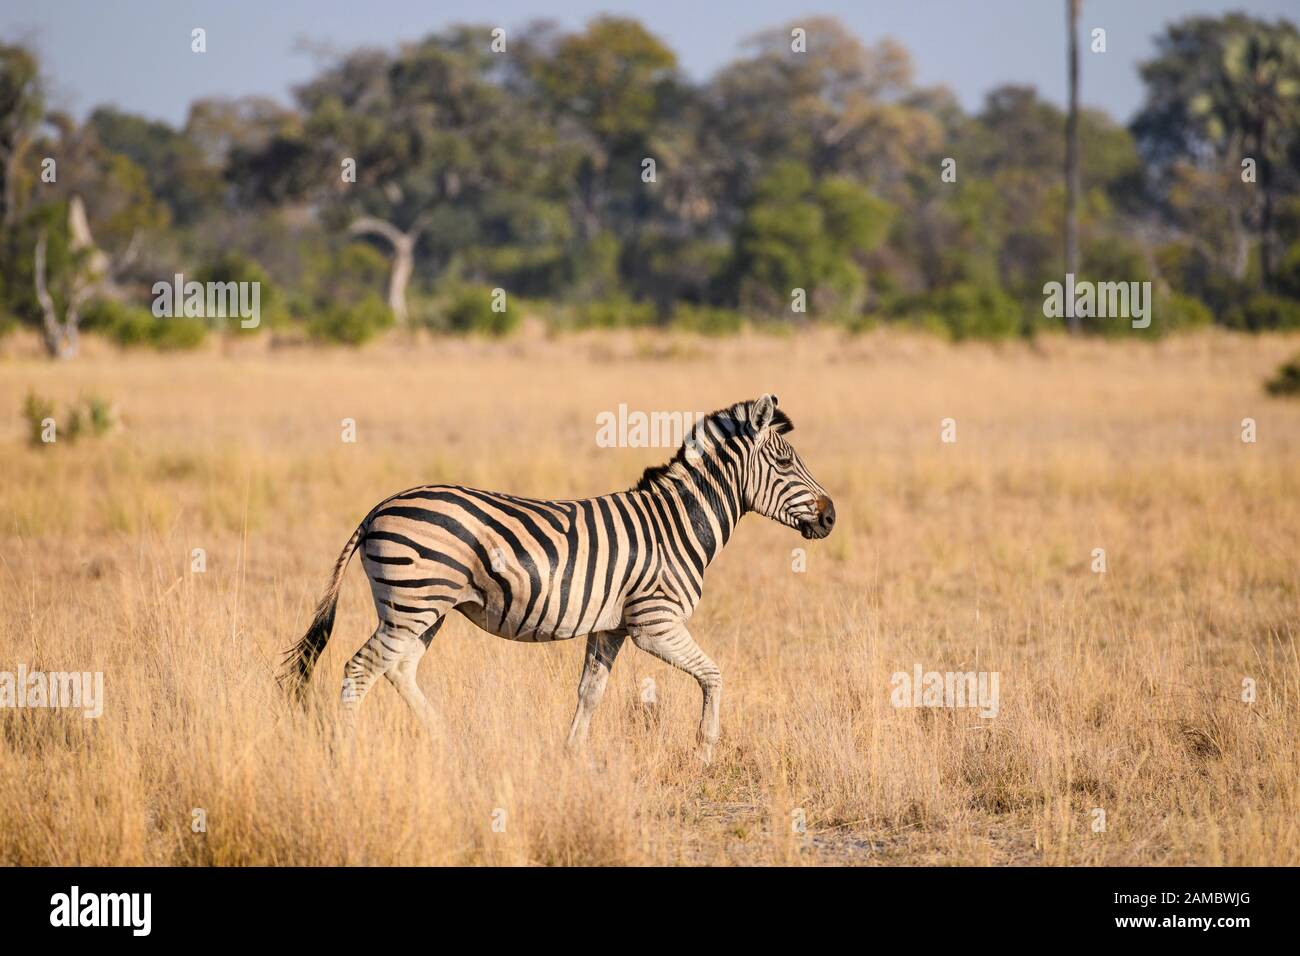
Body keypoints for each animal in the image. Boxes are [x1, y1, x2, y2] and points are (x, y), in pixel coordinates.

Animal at [281, 394, 835, 761]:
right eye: (785, 460)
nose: (830, 518)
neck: (675, 524)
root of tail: (378, 508)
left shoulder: (611, 627)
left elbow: (590, 692)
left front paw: (571, 754)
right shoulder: (654, 623)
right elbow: (714, 675)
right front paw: (704, 749)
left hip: (423, 609)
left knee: (398, 669)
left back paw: (445, 742)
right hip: (413, 603)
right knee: (360, 668)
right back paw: (345, 754)